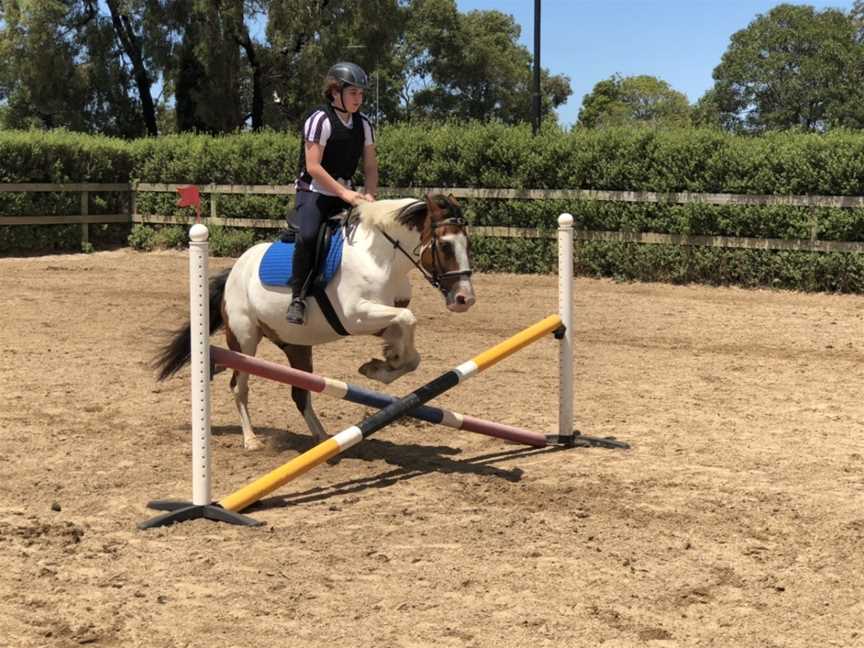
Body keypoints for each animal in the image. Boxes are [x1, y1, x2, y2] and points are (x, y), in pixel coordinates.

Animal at [155, 192, 480, 450]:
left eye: (468, 244)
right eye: (445, 245)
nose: (464, 299)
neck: (381, 258)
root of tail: (235, 269)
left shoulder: (377, 321)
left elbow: (410, 347)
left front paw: (384, 364)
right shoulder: (356, 316)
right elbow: (408, 319)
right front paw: (383, 365)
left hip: (296, 345)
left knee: (300, 392)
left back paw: (322, 438)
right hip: (244, 341)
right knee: (239, 385)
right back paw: (251, 440)